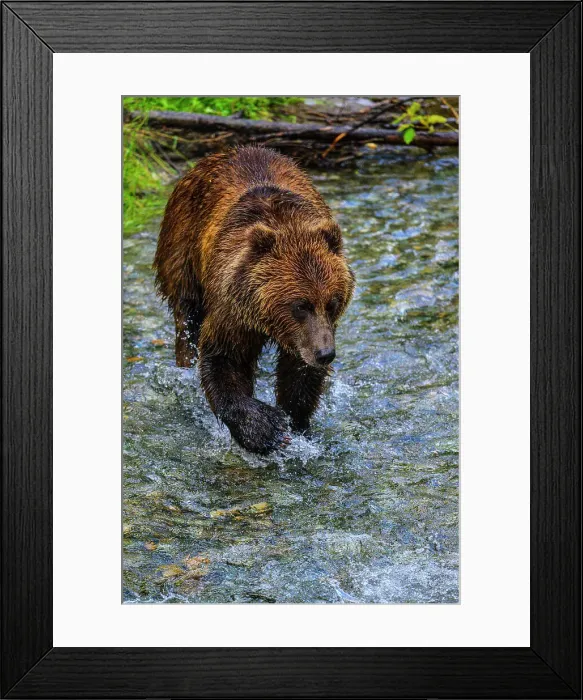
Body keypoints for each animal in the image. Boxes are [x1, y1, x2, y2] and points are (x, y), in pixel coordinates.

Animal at [153, 146, 354, 454]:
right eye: (300, 305)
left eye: (332, 302)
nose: (325, 353)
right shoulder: (233, 308)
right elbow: (224, 358)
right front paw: (266, 429)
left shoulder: (304, 336)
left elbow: (298, 376)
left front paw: (295, 424)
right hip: (182, 251)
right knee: (187, 320)